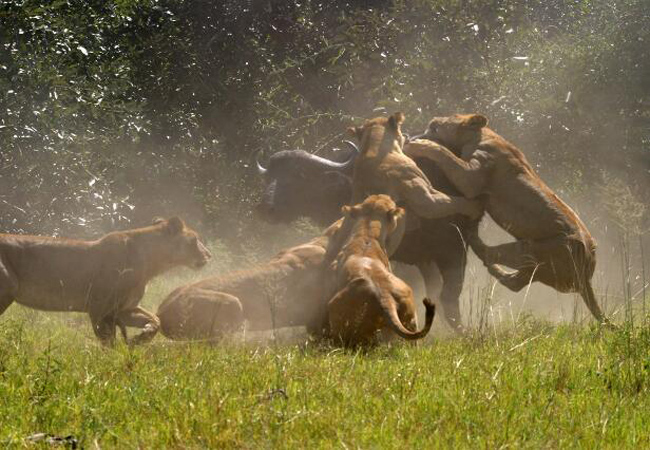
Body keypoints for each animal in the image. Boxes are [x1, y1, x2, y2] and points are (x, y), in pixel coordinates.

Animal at [0, 216, 210, 346]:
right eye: (194, 240)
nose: (209, 255)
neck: (153, 263)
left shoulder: (123, 309)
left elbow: (155, 319)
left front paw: (140, 338)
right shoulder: (99, 309)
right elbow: (108, 342)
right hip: (6, 291)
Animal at [404, 112, 608, 324]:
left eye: (435, 126)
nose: (413, 135)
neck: (483, 135)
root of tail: (587, 276)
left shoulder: (471, 177)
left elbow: (445, 154)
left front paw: (420, 144)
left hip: (532, 249)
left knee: (491, 255)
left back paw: (475, 240)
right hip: (539, 268)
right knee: (515, 282)